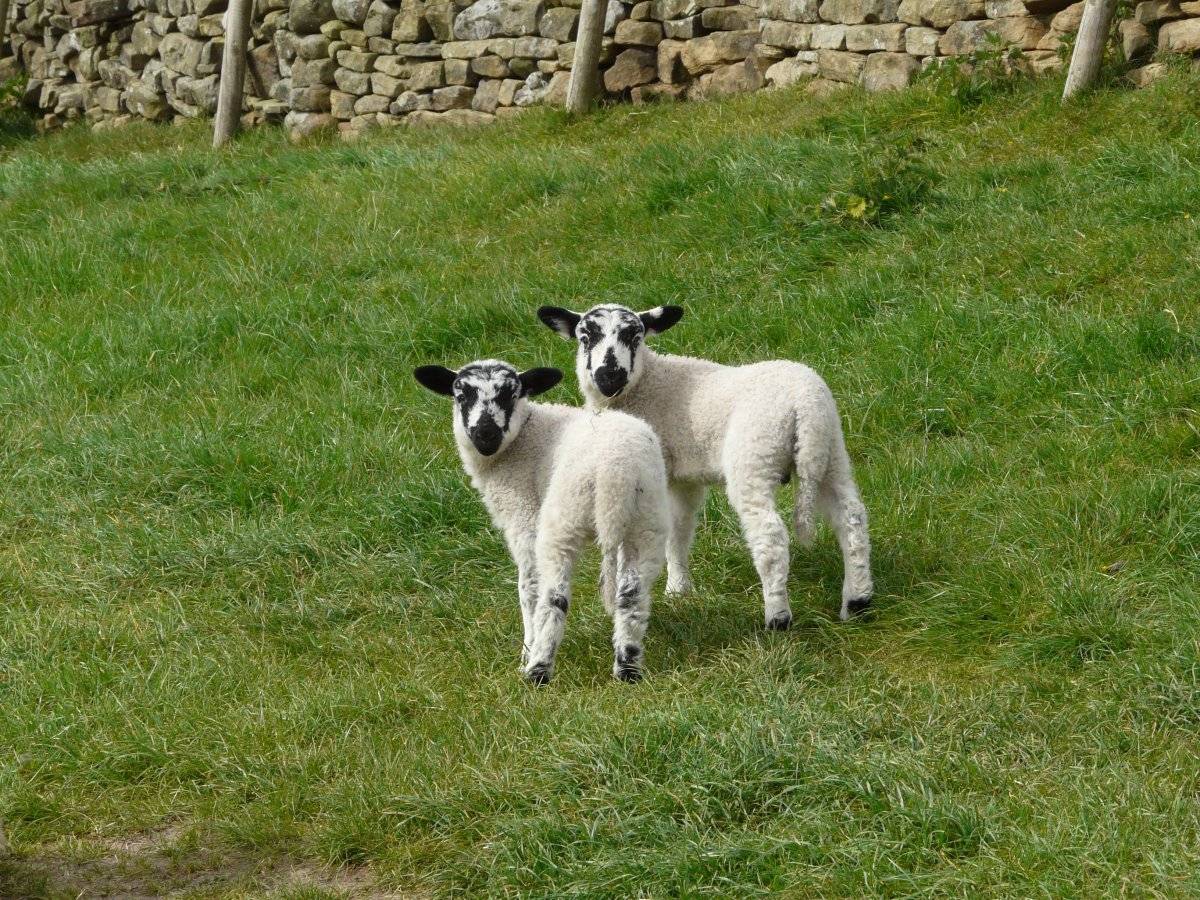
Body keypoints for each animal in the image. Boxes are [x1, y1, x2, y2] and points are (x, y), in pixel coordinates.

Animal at [415, 357, 672, 681]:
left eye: (511, 395)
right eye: (461, 395)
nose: (485, 435)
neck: (524, 437)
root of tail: (615, 474)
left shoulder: (522, 516)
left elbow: (528, 588)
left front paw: (525, 650)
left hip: (562, 519)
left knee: (554, 597)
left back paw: (537, 670)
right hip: (647, 521)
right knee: (631, 595)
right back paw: (627, 668)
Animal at [535, 307, 873, 628]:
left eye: (635, 336)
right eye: (585, 337)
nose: (609, 378)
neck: (648, 382)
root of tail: (805, 404)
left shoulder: (652, 473)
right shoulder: (683, 479)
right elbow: (680, 528)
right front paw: (678, 589)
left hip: (755, 454)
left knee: (771, 535)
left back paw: (778, 617)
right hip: (830, 451)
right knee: (851, 518)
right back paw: (857, 602)